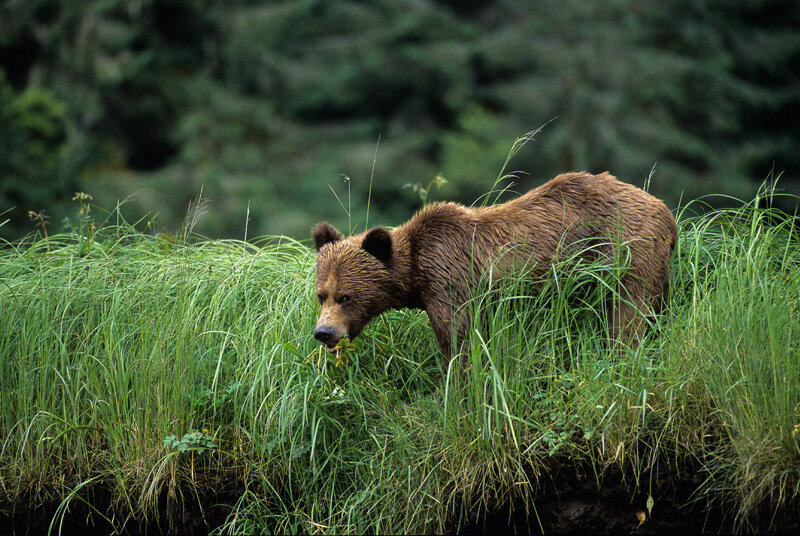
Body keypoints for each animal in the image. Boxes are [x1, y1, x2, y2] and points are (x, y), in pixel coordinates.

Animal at [312, 172, 676, 356]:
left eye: (346, 296)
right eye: (320, 294)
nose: (323, 332)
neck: (416, 274)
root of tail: (665, 210)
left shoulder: (450, 281)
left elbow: (458, 341)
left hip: (625, 251)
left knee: (628, 314)